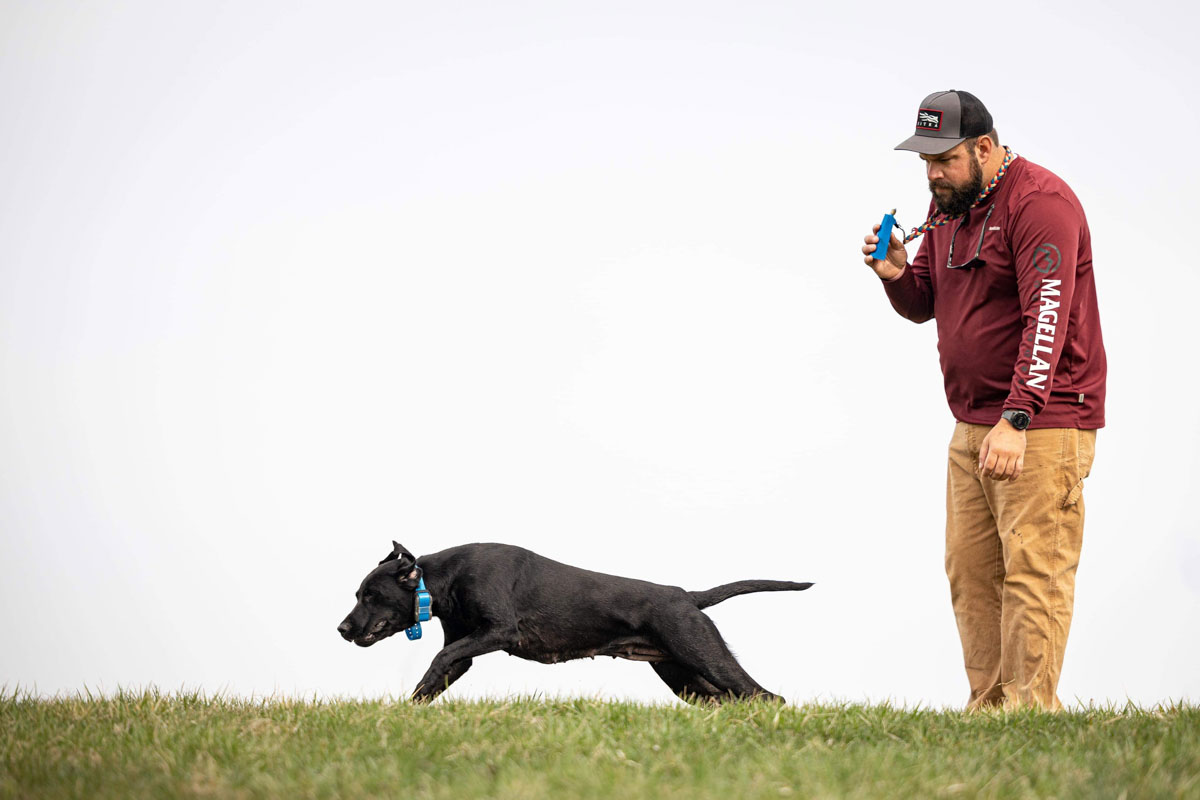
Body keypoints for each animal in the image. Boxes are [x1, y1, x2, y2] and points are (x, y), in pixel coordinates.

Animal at [337, 541, 812, 704]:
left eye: (370, 595)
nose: (341, 629)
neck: (442, 579)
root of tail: (687, 596)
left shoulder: (497, 631)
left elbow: (438, 658)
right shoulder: (466, 649)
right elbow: (431, 682)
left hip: (704, 655)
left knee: (768, 697)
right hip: (686, 678)